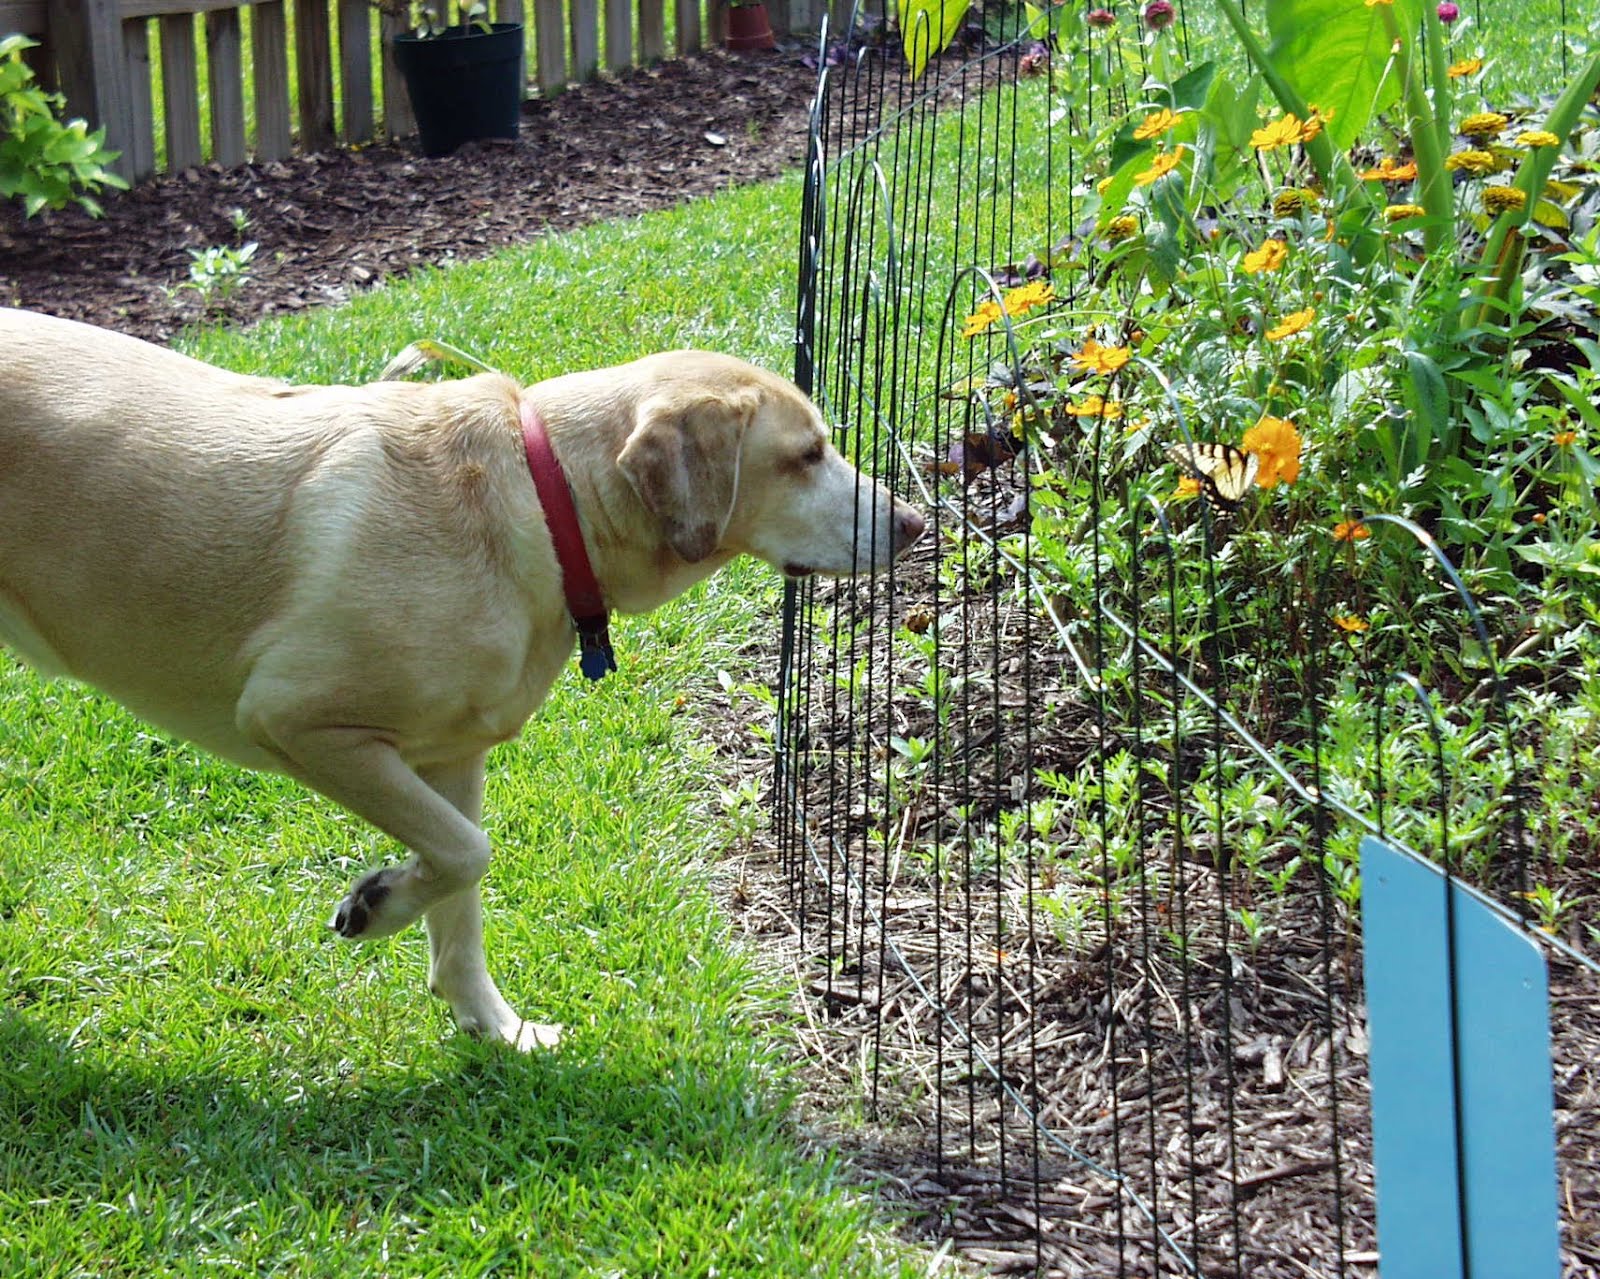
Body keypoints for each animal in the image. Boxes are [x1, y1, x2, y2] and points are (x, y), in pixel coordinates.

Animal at [0, 308, 924, 1050]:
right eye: (807, 455)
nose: (916, 521)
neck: (546, 502)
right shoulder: (296, 719)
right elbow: (467, 852)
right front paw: (377, 901)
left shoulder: (452, 757)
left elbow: (461, 894)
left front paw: (494, 1027)